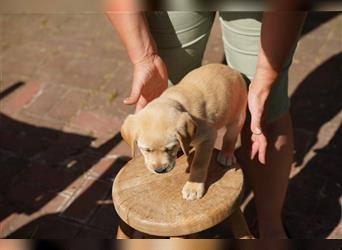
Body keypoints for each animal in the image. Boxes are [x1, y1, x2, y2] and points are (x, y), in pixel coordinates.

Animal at [120, 63, 246, 200]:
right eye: (146, 150)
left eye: (169, 148)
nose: (160, 170)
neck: (177, 101)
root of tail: (233, 71)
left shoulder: (208, 136)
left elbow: (199, 164)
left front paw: (193, 187)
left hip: (238, 115)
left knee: (230, 137)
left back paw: (226, 154)